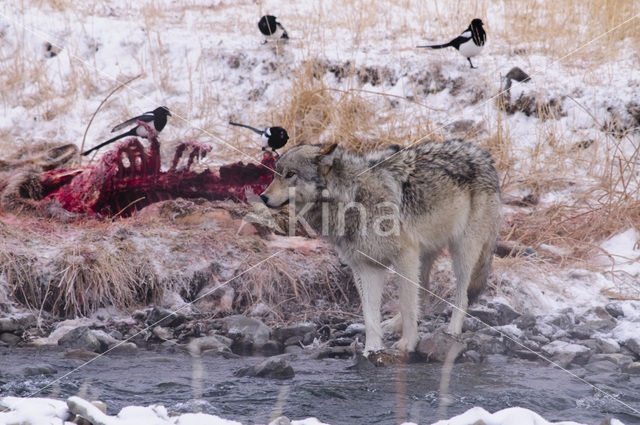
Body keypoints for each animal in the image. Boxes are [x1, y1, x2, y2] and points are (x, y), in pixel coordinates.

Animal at [260, 140, 500, 354]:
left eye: (290, 174)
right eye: (275, 174)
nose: (263, 197)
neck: (351, 198)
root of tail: (484, 156)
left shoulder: (404, 256)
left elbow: (406, 304)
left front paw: (408, 344)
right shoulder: (365, 266)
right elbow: (370, 314)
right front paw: (372, 349)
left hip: (462, 252)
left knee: (462, 296)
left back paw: (452, 331)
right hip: (425, 255)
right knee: (424, 291)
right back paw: (394, 324)